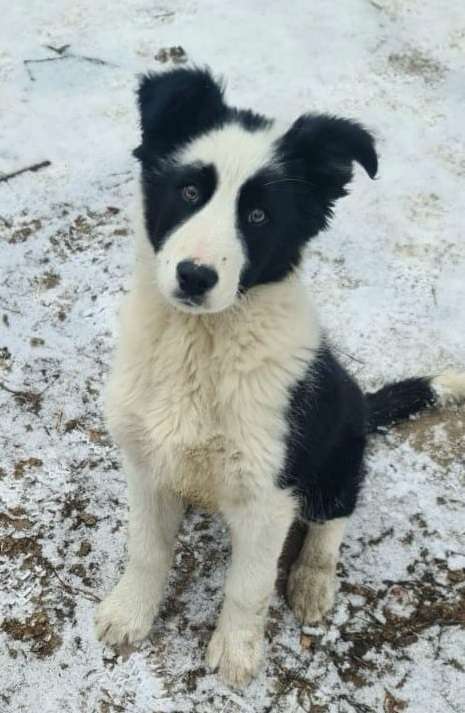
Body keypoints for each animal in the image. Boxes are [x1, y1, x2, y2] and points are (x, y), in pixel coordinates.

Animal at [95, 69, 464, 688]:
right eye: (189, 192)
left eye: (258, 217)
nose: (195, 276)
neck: (200, 344)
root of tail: (362, 406)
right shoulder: (145, 462)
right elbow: (146, 549)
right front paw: (129, 613)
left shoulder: (269, 495)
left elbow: (248, 587)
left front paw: (236, 653)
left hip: (336, 455)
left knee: (334, 516)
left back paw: (313, 579)